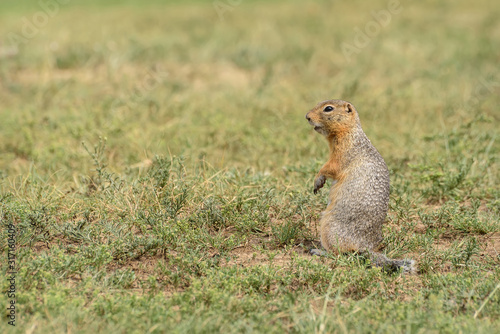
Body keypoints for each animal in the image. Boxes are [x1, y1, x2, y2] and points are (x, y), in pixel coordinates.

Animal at [304, 99, 414, 274]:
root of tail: (364, 247)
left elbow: (330, 167)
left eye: (328, 108)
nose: (307, 116)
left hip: (328, 227)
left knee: (339, 253)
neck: (350, 132)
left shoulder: (342, 152)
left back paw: (319, 251)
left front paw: (317, 180)